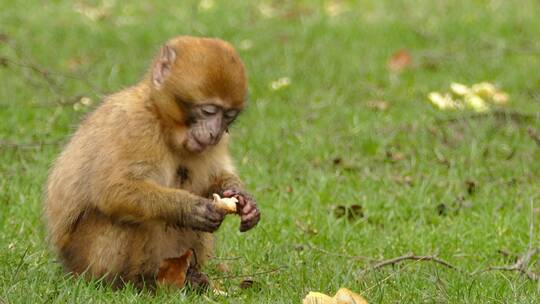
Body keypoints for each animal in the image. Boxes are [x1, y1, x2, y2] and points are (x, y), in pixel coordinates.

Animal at [44, 35, 260, 290]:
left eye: (228, 116)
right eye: (208, 111)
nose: (215, 133)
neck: (163, 123)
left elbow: (215, 179)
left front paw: (244, 200)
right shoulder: (136, 125)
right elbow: (112, 190)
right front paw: (189, 208)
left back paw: (190, 277)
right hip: (84, 258)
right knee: (121, 219)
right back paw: (131, 283)